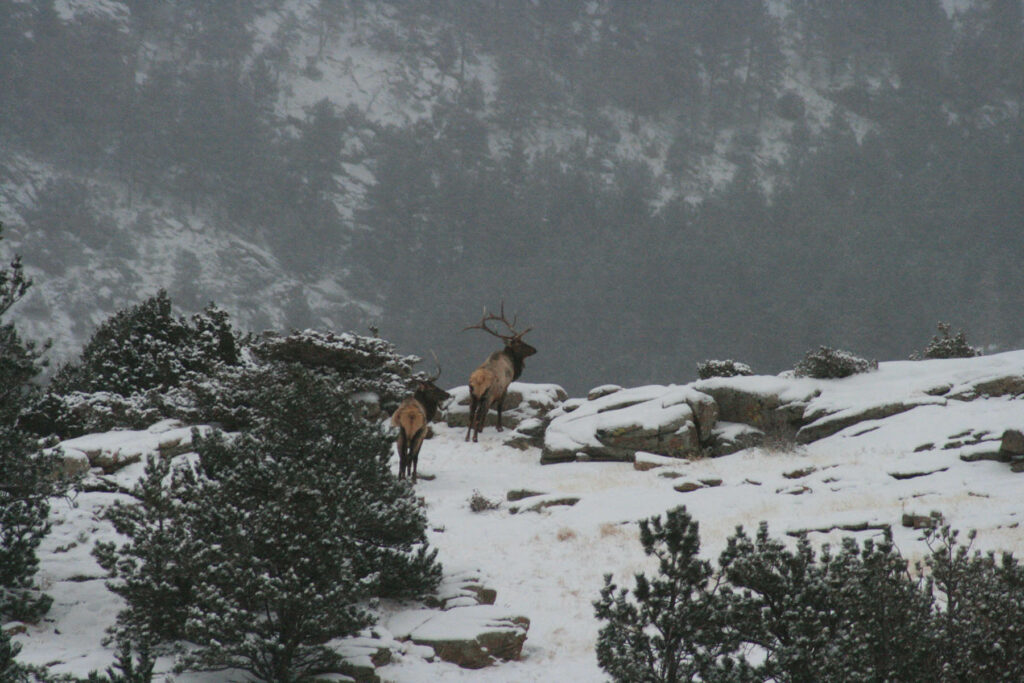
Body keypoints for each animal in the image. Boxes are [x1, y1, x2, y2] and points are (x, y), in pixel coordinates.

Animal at [460, 305, 532, 444]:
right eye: (520, 343)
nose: (534, 349)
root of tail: (478, 380)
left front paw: (482, 429)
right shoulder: (504, 387)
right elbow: (499, 407)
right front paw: (499, 428)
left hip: (473, 394)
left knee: (471, 414)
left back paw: (467, 437)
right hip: (486, 394)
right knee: (478, 413)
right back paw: (475, 438)